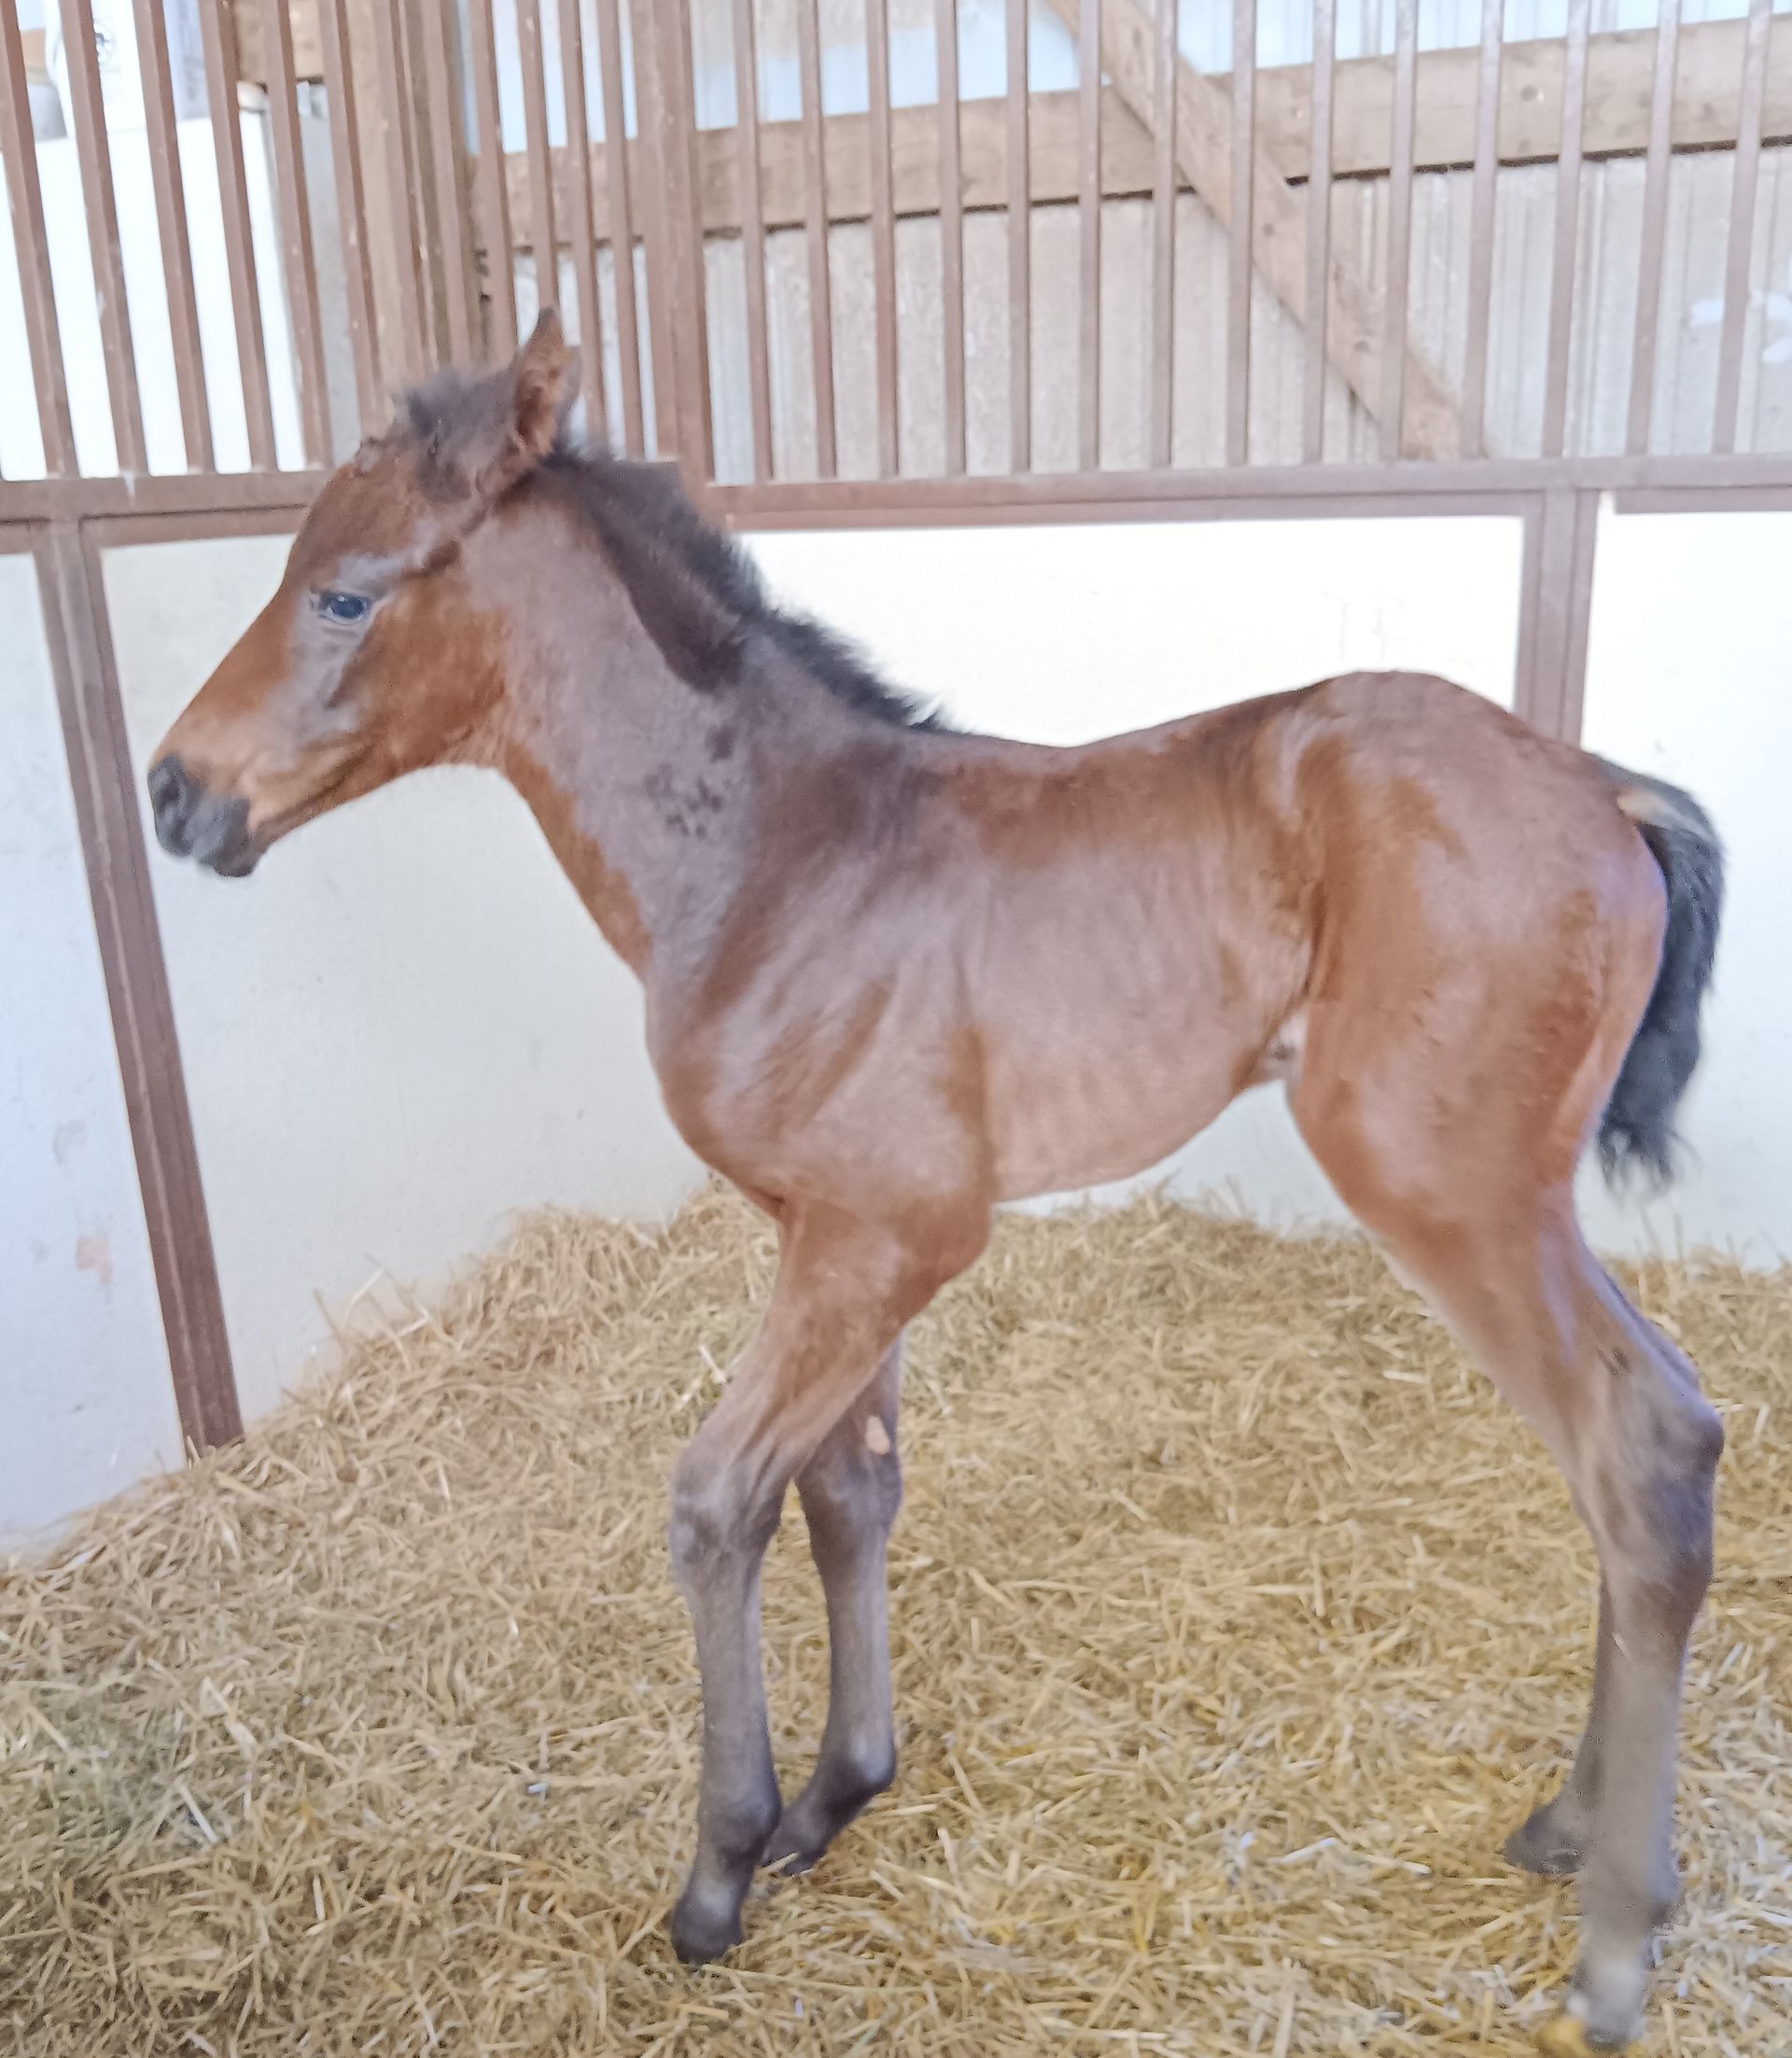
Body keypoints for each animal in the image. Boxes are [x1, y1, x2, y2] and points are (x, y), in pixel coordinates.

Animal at [148, 313, 1725, 2056]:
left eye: (346, 595)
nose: (173, 792)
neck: (775, 858)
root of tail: (1605, 788)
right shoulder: (835, 1236)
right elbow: (849, 1489)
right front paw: (836, 1796)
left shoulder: (889, 1232)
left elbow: (717, 1498)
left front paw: (719, 1869)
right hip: (1517, 1199)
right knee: (1635, 1452)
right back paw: (1567, 1825)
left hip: (1445, 1187)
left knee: (1644, 1450)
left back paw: (1616, 1935)